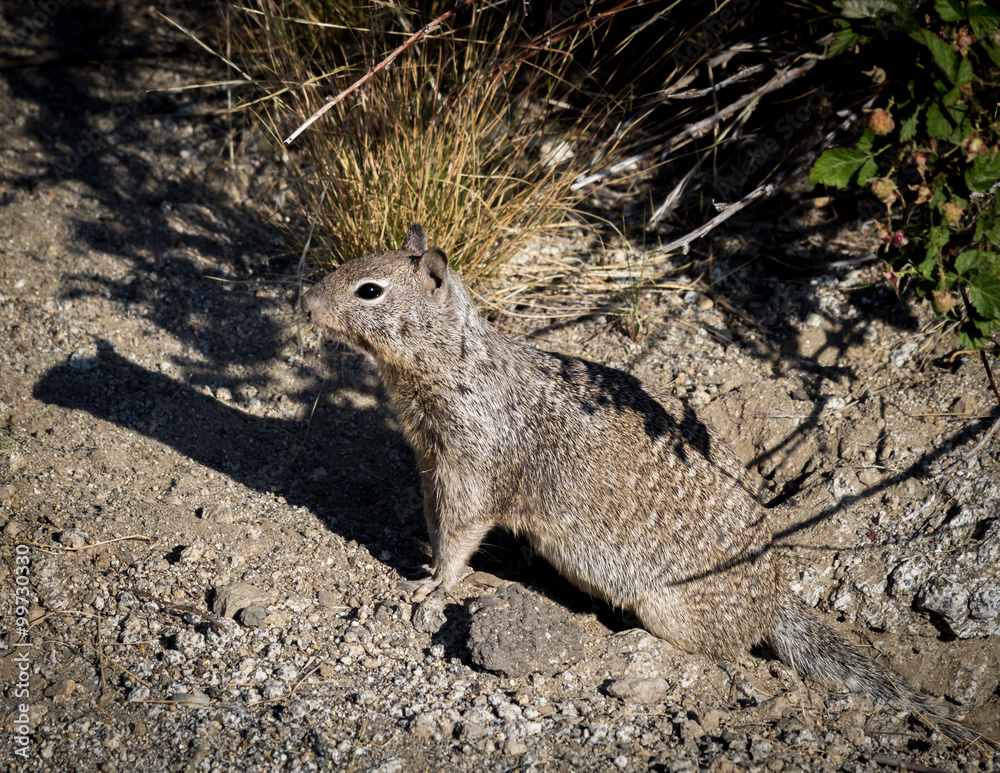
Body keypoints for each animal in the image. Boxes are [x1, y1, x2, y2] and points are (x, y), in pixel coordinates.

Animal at [303, 224, 995, 750]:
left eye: (369, 290)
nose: (304, 305)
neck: (450, 363)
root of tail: (776, 600)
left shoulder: (470, 465)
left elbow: (462, 533)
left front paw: (433, 586)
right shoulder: (430, 463)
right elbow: (434, 521)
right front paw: (420, 562)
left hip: (670, 609)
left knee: (720, 653)